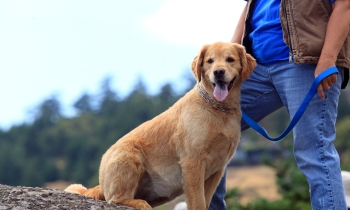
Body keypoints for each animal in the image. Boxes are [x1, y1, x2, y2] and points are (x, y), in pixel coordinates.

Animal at [65, 41, 254, 210]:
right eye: (210, 61)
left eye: (230, 59)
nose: (218, 72)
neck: (218, 108)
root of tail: (101, 184)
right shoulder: (193, 163)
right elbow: (198, 203)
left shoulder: (217, 170)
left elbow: (205, 202)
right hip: (129, 157)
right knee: (115, 199)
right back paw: (140, 203)